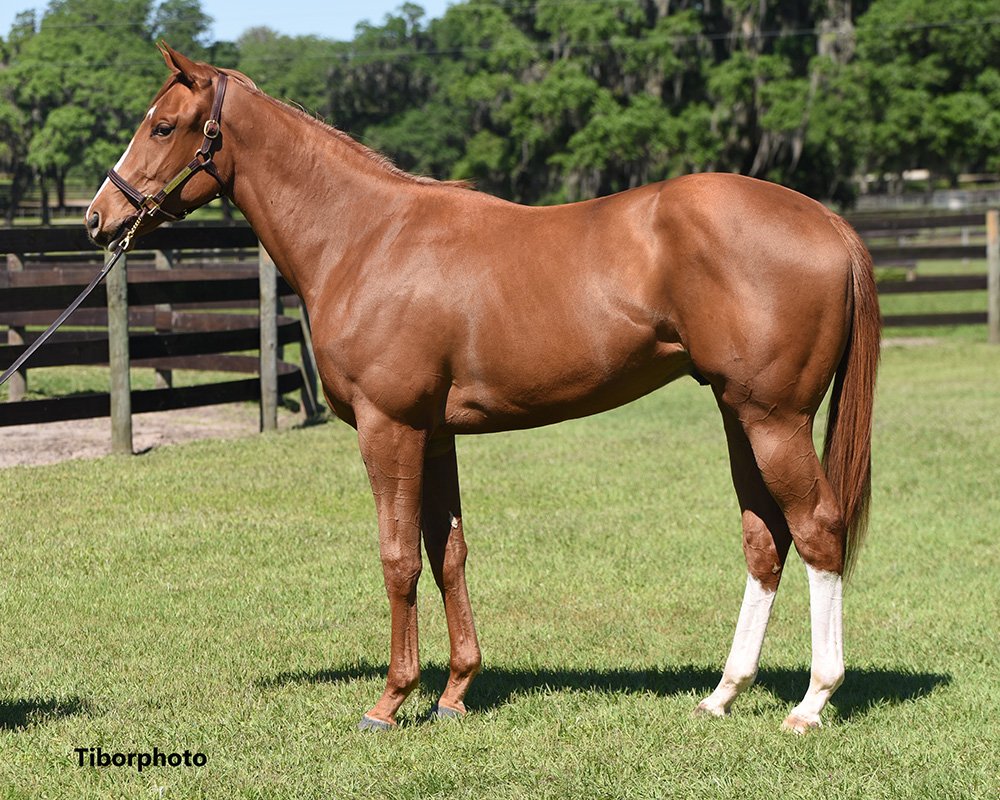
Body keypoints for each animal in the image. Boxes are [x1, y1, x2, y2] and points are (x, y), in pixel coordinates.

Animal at [88, 42, 884, 732]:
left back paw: (812, 701)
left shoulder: (390, 428)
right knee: (764, 540)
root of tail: (828, 221)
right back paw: (723, 694)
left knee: (817, 529)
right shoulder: (436, 435)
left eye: (163, 125)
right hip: (738, 413)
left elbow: (400, 558)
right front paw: (455, 693)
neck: (367, 237)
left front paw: (391, 700)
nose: (100, 216)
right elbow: (450, 554)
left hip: (774, 418)